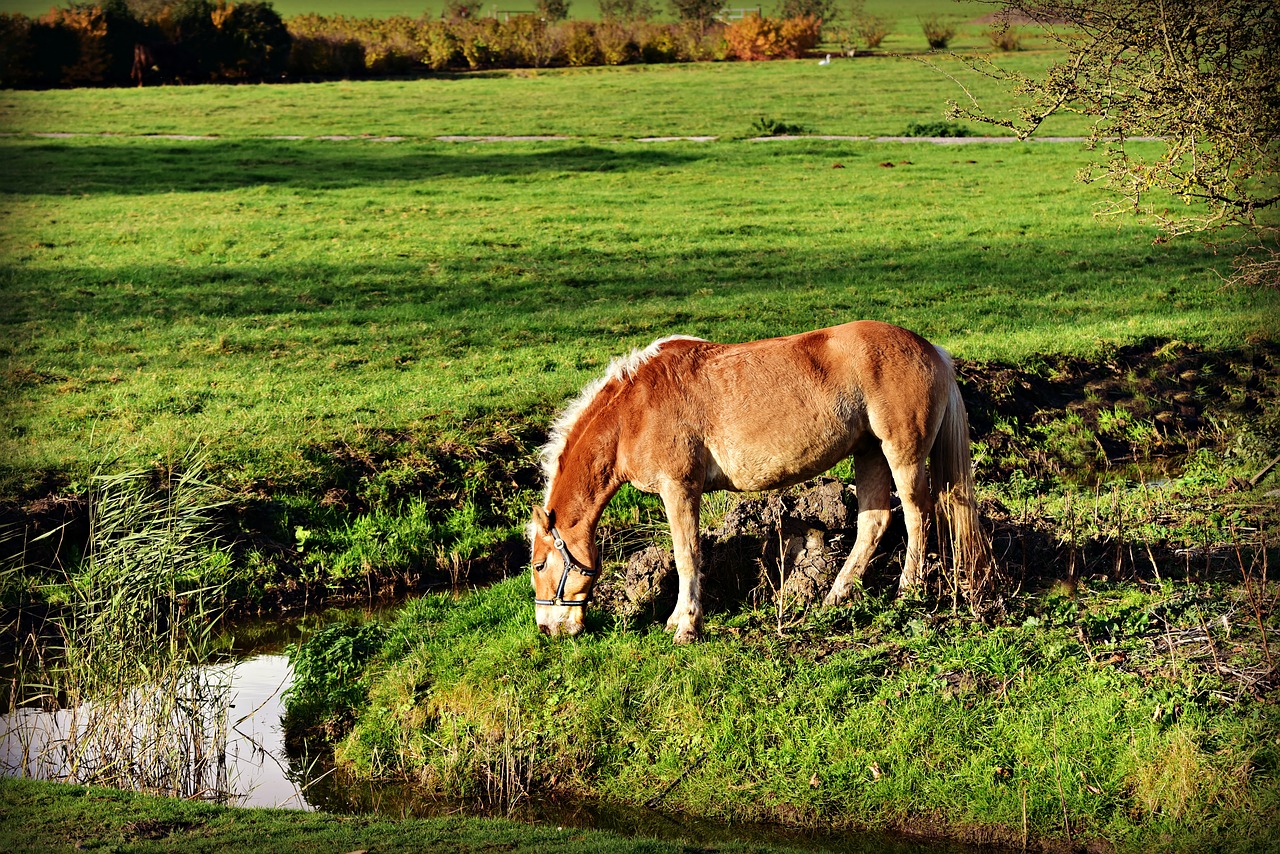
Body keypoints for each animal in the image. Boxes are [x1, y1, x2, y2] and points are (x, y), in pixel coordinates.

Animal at [527, 320, 988, 640]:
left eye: (539, 564)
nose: (548, 627)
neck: (634, 410)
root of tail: (931, 350)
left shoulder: (680, 489)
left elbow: (687, 555)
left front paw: (686, 625)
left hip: (900, 454)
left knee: (917, 516)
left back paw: (908, 590)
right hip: (870, 452)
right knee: (874, 522)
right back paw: (835, 595)